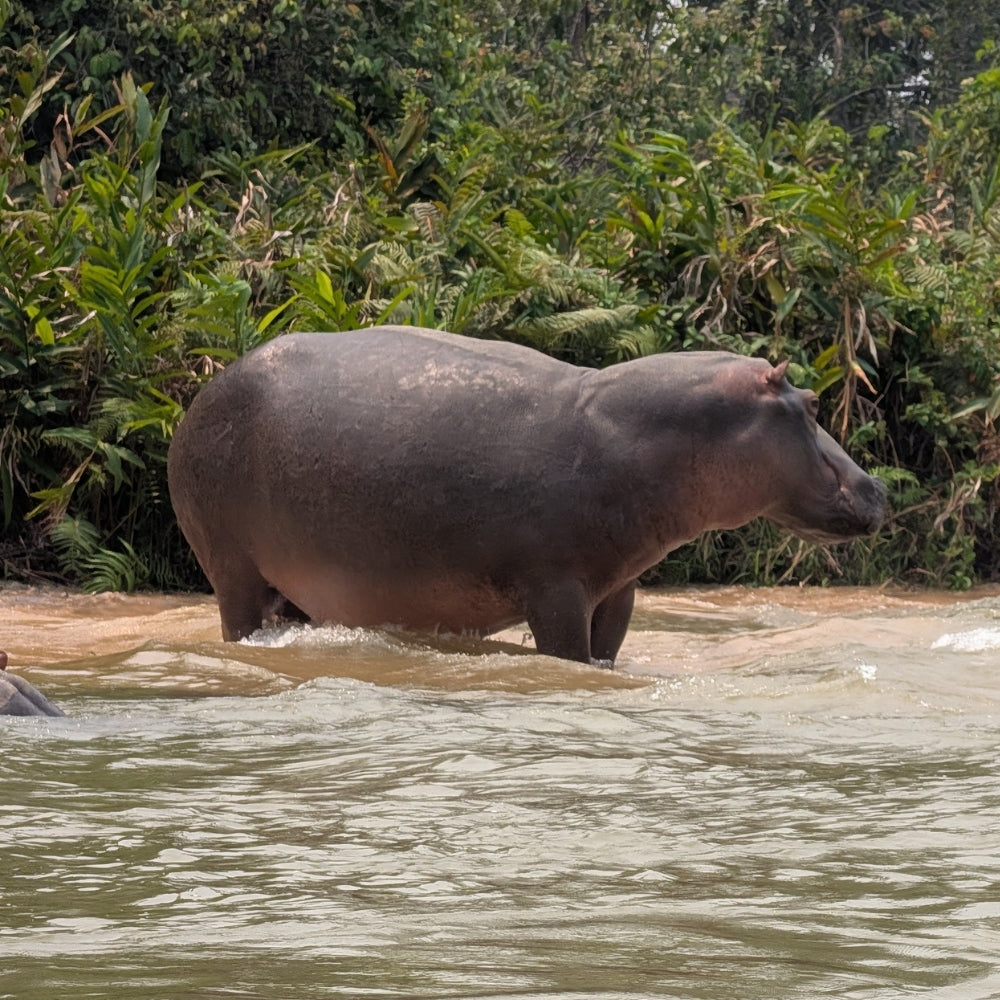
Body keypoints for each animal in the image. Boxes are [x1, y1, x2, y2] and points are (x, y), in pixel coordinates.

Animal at [167, 326, 887, 664]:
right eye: (813, 403)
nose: (877, 488)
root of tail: (200, 394)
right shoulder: (556, 588)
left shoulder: (618, 589)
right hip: (233, 572)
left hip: (298, 588)